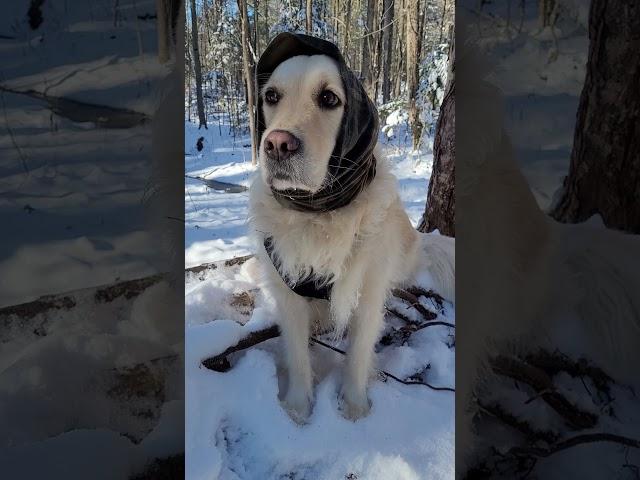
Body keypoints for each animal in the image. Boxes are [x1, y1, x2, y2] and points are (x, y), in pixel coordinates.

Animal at [246, 34, 456, 424]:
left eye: (329, 98)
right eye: (272, 96)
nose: (277, 144)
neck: (317, 212)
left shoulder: (368, 290)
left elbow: (359, 353)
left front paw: (354, 407)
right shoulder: (289, 291)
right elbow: (298, 355)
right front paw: (298, 408)